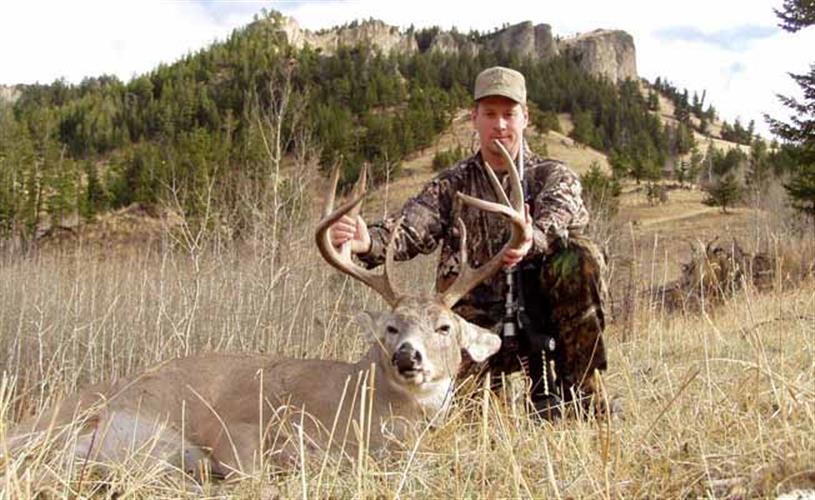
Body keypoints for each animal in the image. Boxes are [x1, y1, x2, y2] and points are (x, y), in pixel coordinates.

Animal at [3, 141, 529, 487]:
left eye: (444, 326)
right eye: (390, 327)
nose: (406, 356)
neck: (361, 404)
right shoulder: (243, 431)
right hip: (71, 423)